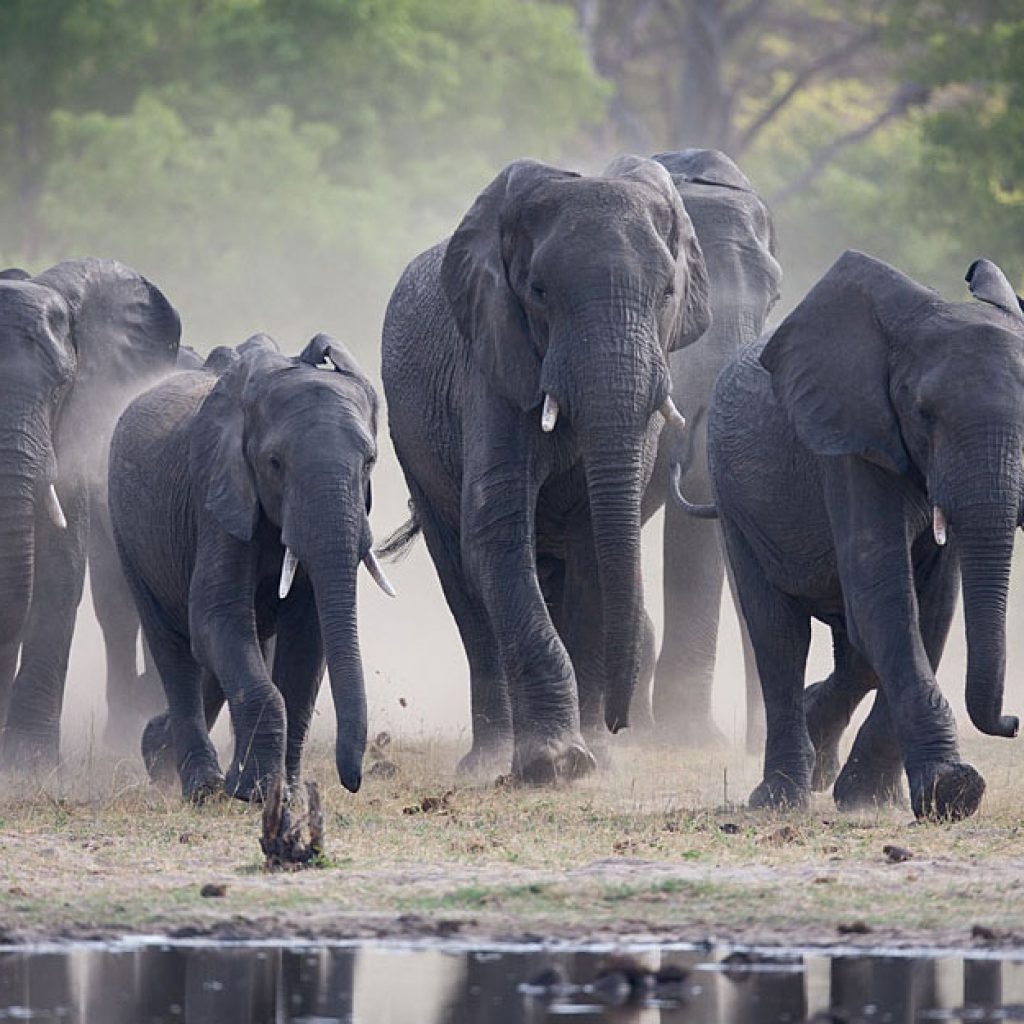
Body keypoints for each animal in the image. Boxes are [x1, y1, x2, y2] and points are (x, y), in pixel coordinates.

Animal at [105, 335, 389, 798]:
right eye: (274, 463)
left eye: (370, 462)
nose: (354, 781)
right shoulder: (216, 494)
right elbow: (214, 618)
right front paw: (255, 792)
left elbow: (305, 640)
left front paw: (283, 793)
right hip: (127, 534)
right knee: (175, 648)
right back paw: (199, 786)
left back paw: (160, 755)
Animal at [380, 155, 708, 778]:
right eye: (538, 292)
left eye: (667, 292)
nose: (622, 724)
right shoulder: (489, 360)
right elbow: (496, 533)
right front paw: (555, 764)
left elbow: (595, 549)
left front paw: (598, 762)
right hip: (411, 444)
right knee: (463, 584)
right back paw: (486, 763)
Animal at [688, 251, 1024, 819]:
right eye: (923, 414)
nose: (1013, 722)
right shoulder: (848, 443)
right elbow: (887, 600)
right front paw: (951, 792)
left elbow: (929, 611)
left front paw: (872, 799)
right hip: (733, 501)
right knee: (778, 633)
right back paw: (781, 797)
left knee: (853, 650)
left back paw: (819, 755)